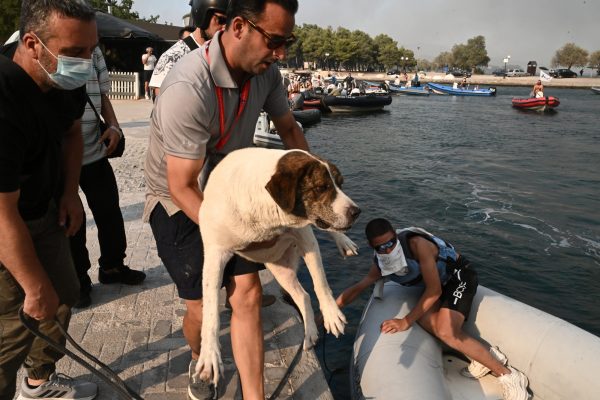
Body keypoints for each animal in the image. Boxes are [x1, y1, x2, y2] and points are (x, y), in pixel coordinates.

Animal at [197, 148, 360, 384]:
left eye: (340, 184)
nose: (357, 211)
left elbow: (320, 281)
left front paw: (331, 314)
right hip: (280, 269)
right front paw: (209, 355)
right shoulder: (213, 255)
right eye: (321, 187)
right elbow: (210, 311)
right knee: (303, 295)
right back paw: (310, 333)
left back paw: (343, 242)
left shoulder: (305, 235)